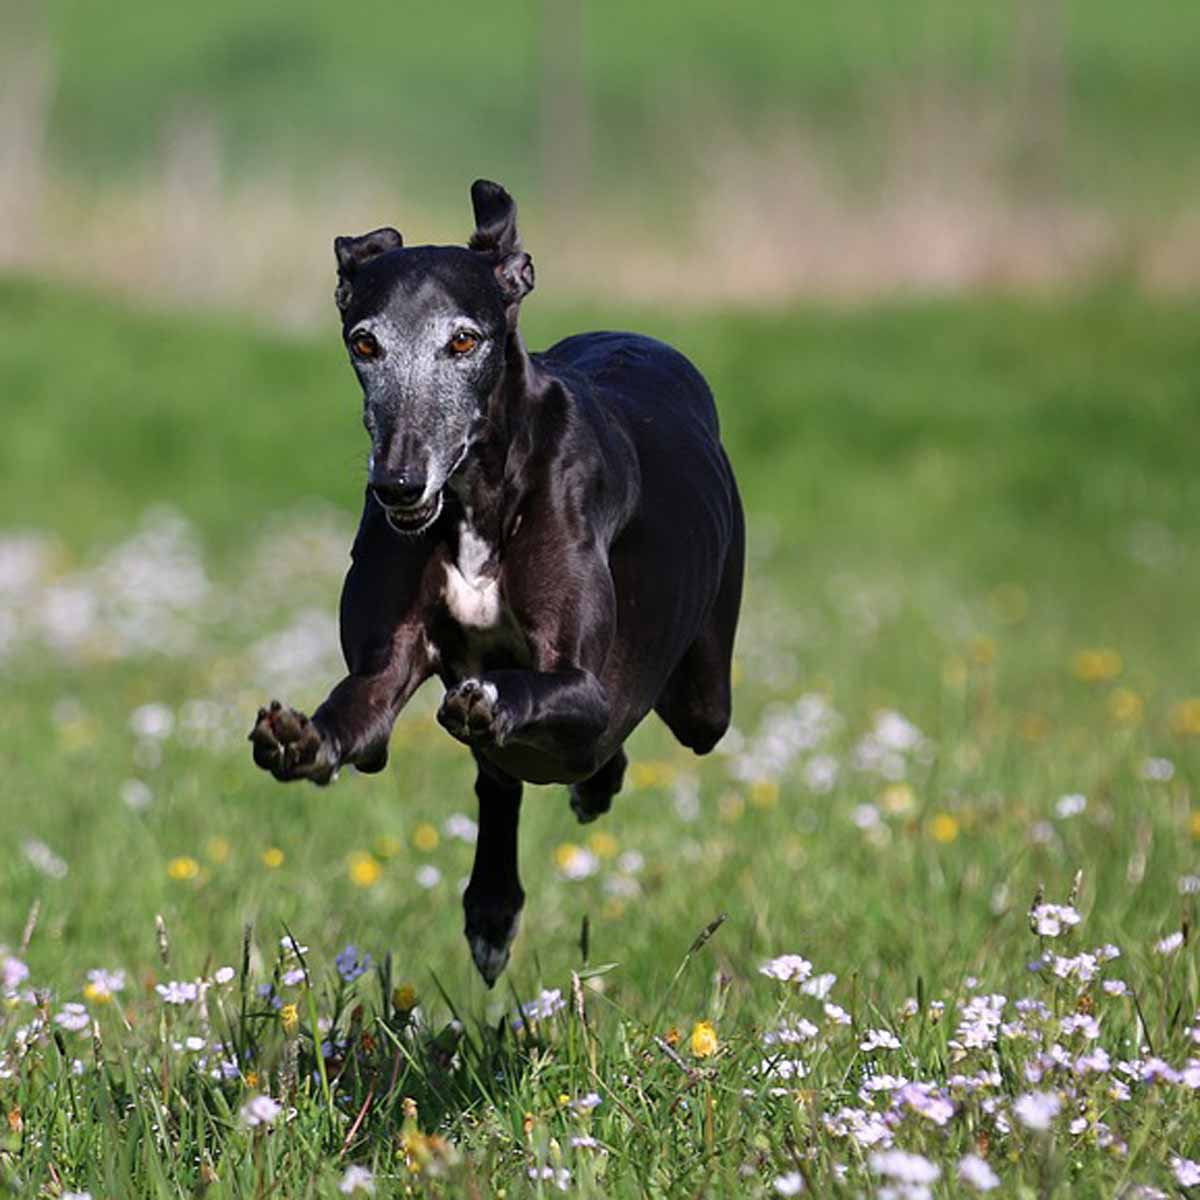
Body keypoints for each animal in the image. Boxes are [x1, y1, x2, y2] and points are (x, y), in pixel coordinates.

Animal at [252, 180, 739, 984]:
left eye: (463, 341)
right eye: (364, 343)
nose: (398, 483)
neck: (476, 498)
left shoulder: (584, 682)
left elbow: (551, 690)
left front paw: (498, 703)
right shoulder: (387, 664)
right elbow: (360, 716)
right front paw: (301, 739)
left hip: (703, 695)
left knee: (626, 732)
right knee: (500, 778)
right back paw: (492, 906)